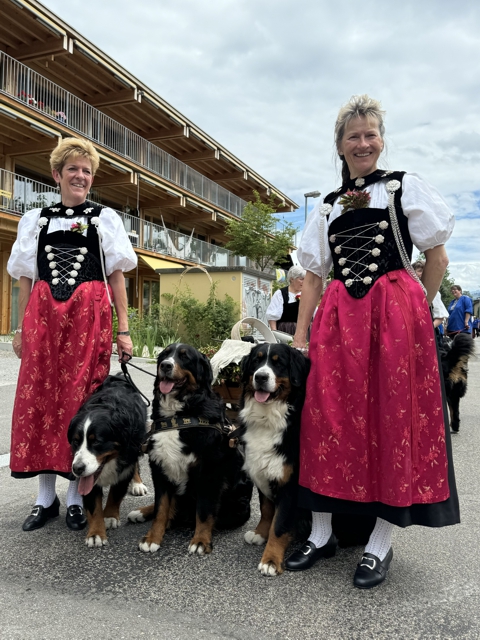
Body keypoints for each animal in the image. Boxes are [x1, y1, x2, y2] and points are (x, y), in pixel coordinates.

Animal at [66, 378, 147, 548]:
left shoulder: (125, 466)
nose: (77, 468)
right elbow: (93, 505)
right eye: (76, 442)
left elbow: (115, 494)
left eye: (96, 442)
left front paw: (109, 516)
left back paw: (137, 484)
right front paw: (96, 533)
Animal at [127, 344, 255, 556]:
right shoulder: (159, 468)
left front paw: (200, 540)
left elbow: (203, 511)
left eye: (184, 357)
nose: (165, 365)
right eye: (164, 355)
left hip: (237, 505)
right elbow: (161, 508)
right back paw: (141, 512)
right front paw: (153, 538)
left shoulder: (209, 472)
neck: (179, 416)